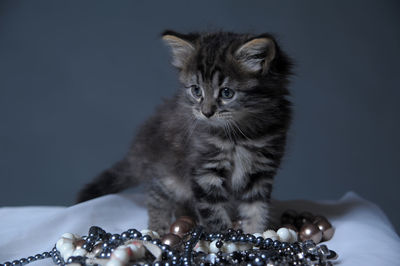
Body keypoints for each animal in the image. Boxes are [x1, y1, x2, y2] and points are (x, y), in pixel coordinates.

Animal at [76, 30, 292, 234]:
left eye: (227, 93)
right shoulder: (204, 171)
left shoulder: (260, 173)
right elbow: (214, 215)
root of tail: (139, 149)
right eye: (196, 90)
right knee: (157, 200)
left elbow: (257, 212)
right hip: (165, 175)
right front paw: (226, 239)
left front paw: (256, 237)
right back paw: (158, 229)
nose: (206, 112)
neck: (241, 134)